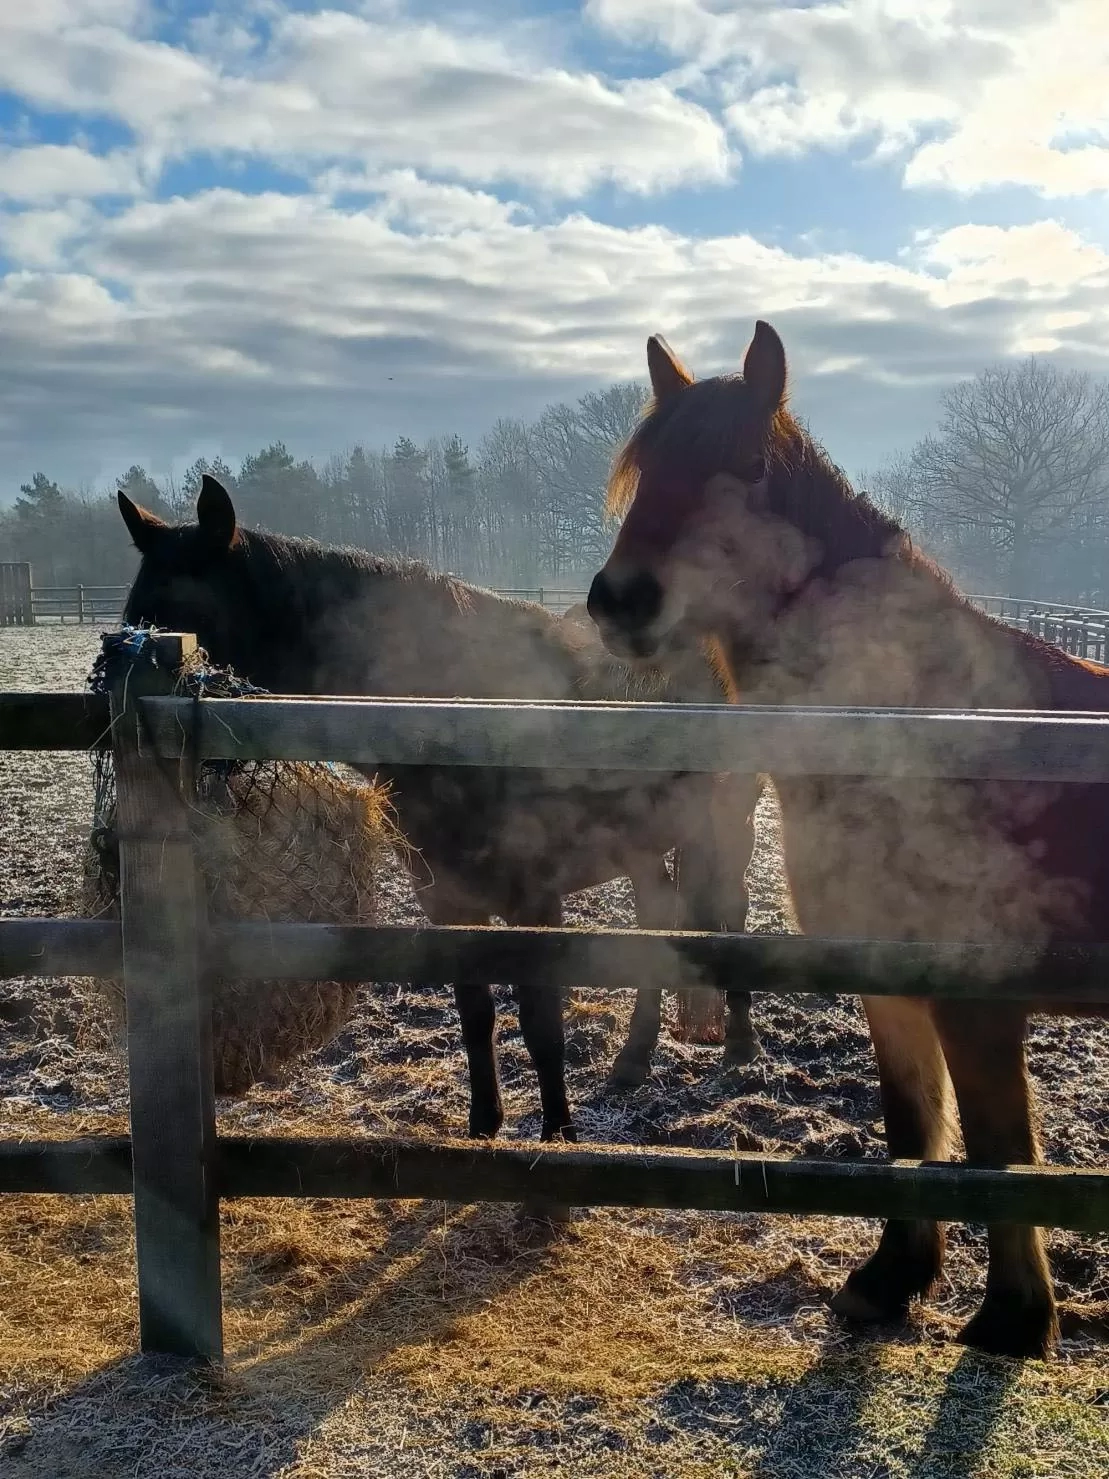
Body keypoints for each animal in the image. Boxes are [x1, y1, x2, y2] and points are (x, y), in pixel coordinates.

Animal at [119, 479, 762, 1159]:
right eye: (131, 611)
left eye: (184, 615)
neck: (461, 717)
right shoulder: (446, 900)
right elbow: (475, 1014)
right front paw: (483, 1125)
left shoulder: (535, 904)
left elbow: (541, 1024)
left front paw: (558, 1135)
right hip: (643, 845)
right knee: (656, 919)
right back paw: (633, 1061)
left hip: (728, 824)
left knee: (732, 914)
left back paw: (740, 1045)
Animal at [594, 317, 1109, 1354]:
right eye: (642, 471)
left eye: (749, 465)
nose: (620, 601)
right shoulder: (886, 977)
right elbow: (910, 1122)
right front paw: (889, 1281)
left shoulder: (977, 997)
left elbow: (997, 1147)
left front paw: (1010, 1321)